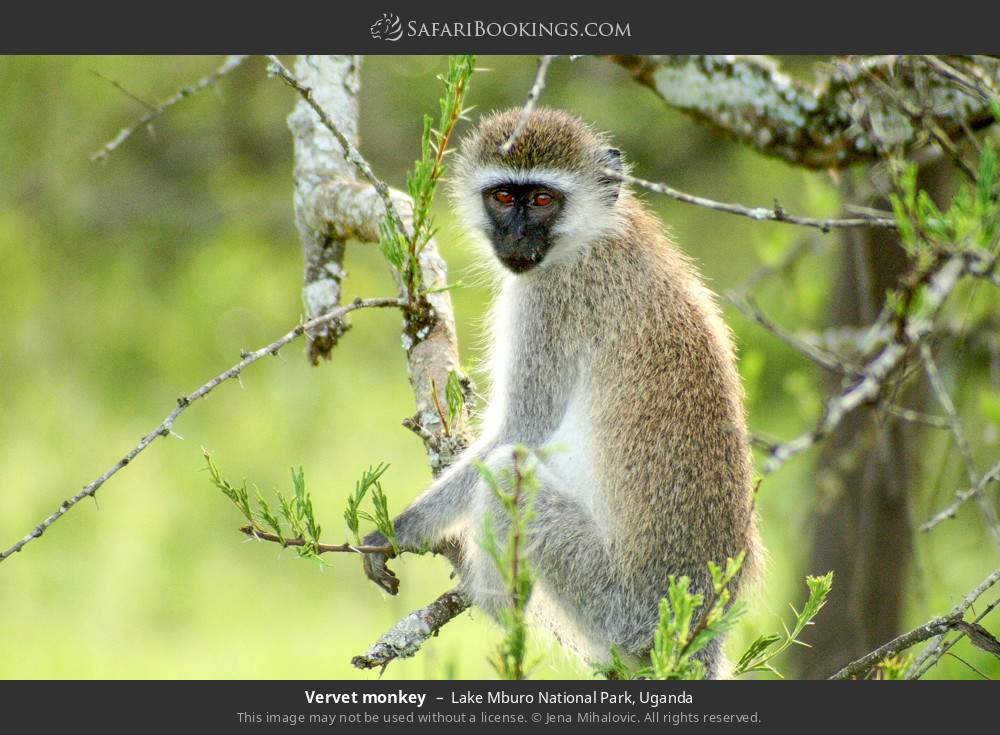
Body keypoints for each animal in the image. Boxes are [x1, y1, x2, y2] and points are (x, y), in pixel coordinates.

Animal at [361, 107, 761, 678]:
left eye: (544, 200)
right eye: (504, 196)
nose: (516, 238)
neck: (594, 234)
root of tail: (693, 634)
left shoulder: (550, 301)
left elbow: (522, 430)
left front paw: (401, 530)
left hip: (612, 601)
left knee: (509, 472)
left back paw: (495, 602)